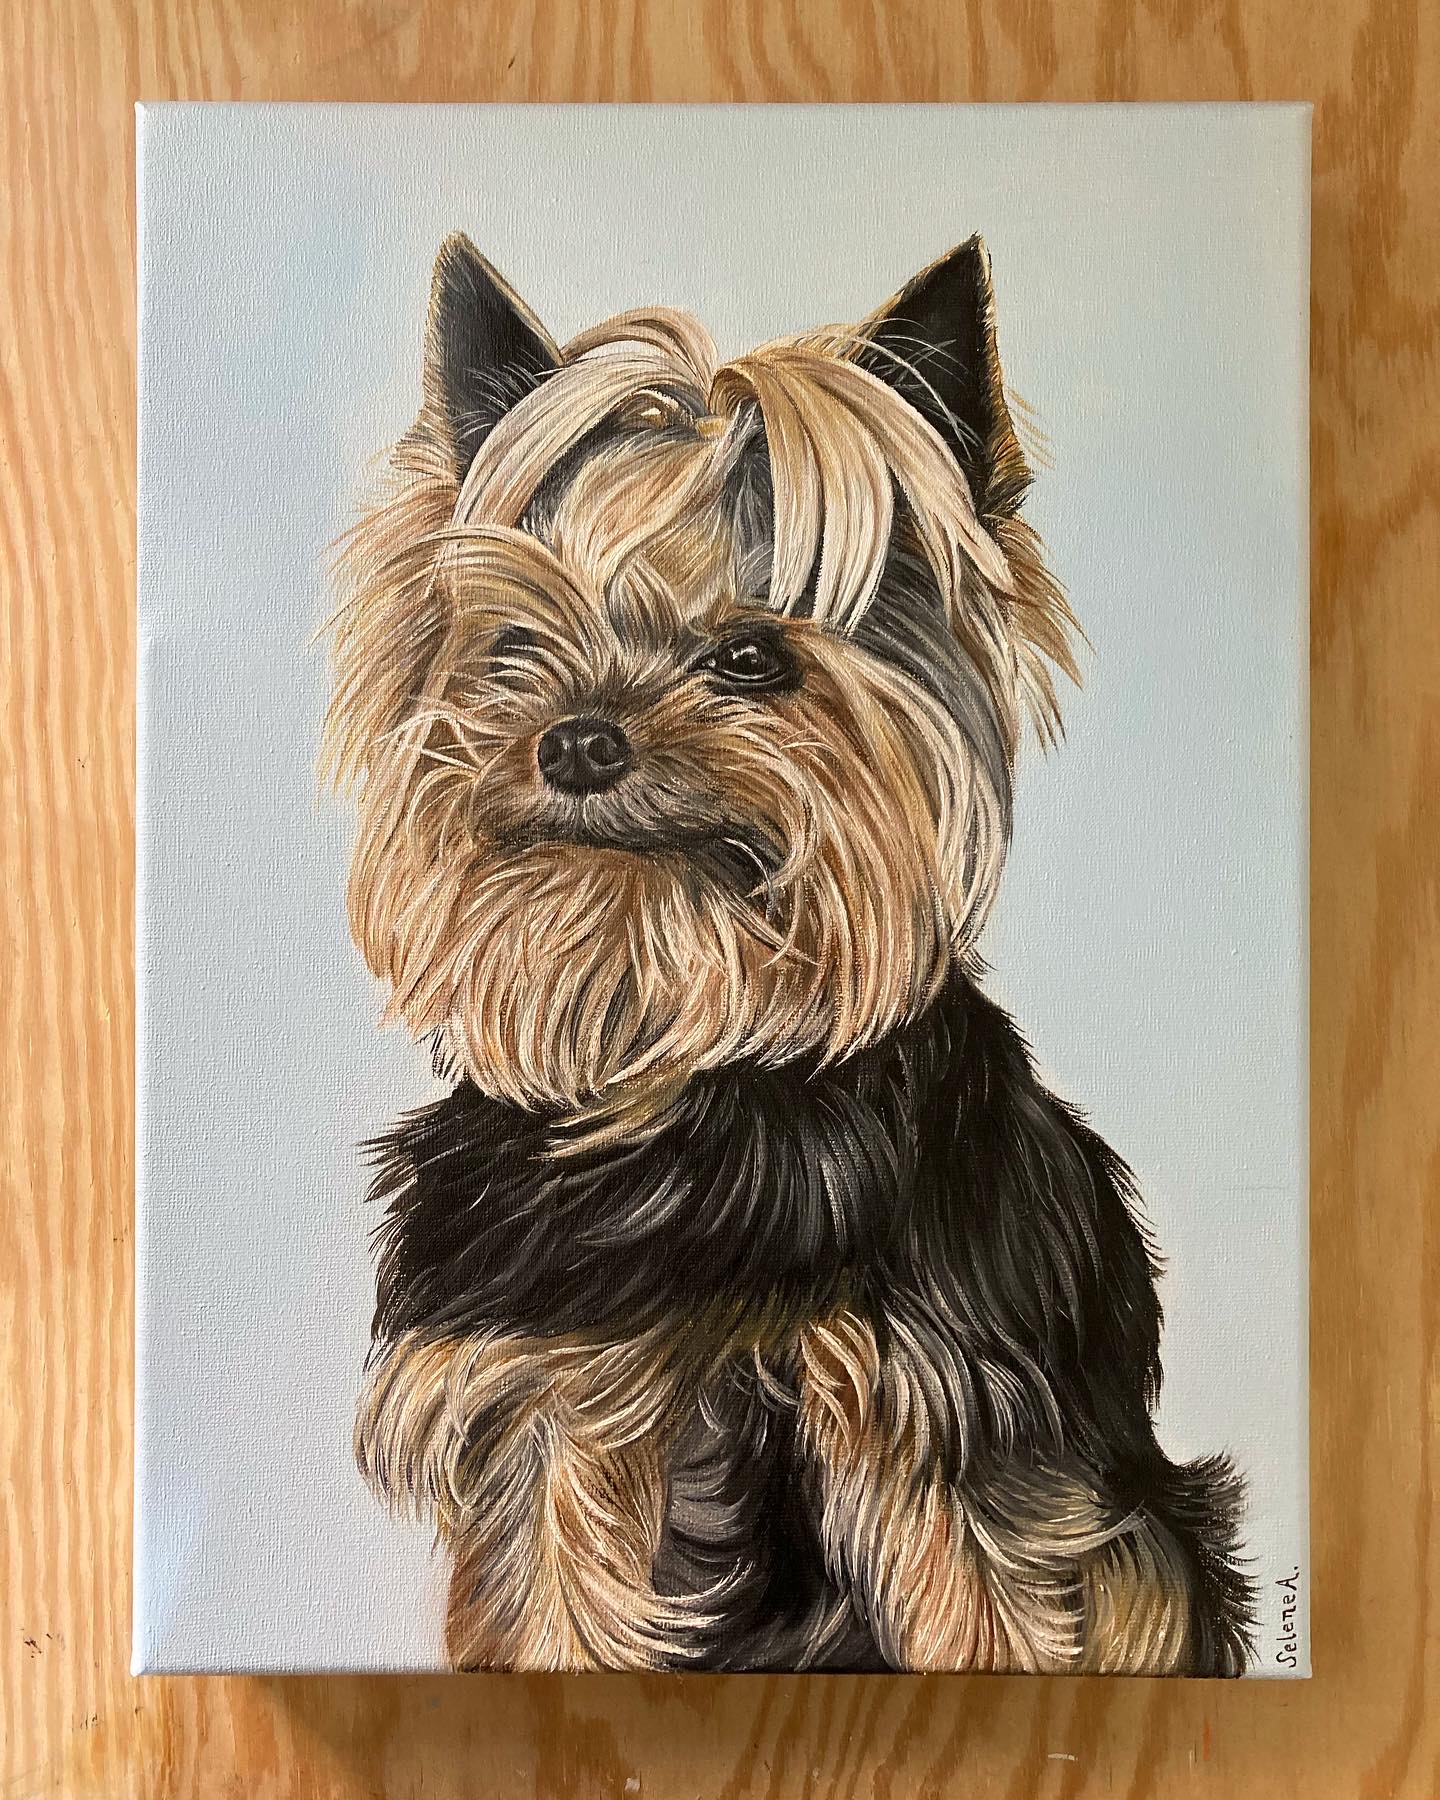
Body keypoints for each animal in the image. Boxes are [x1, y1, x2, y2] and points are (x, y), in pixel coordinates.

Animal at [324, 231, 1255, 1674]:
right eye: (517, 645)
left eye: (753, 657)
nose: (576, 738)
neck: (678, 1057)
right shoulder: (546, 1410)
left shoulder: (942, 1428)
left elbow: (983, 1616)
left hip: (1158, 1546)